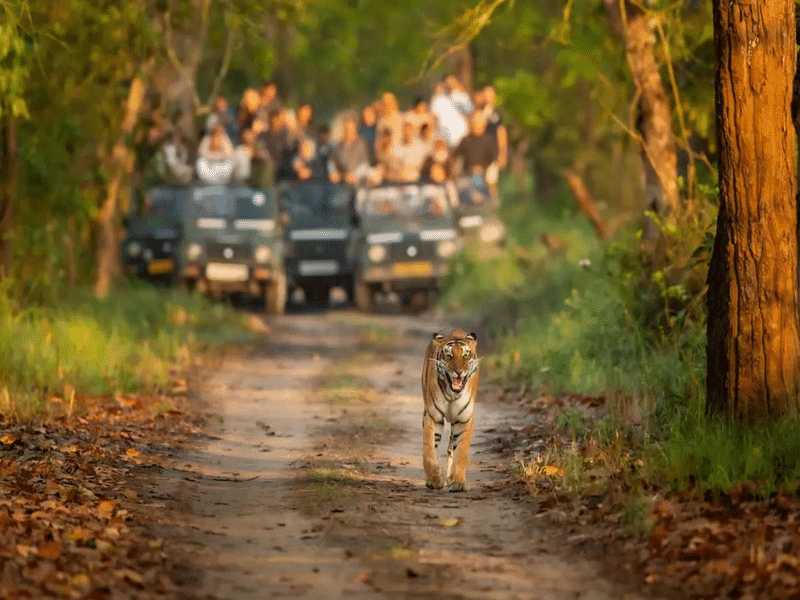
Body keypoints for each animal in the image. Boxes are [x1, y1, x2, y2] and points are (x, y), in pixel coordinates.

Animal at [422, 328, 478, 492]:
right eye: (449, 356)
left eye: (466, 355)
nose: (459, 372)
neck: (452, 394)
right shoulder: (433, 416)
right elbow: (429, 450)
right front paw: (435, 479)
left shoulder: (464, 419)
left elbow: (461, 452)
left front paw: (458, 481)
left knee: (451, 449)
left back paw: (450, 477)